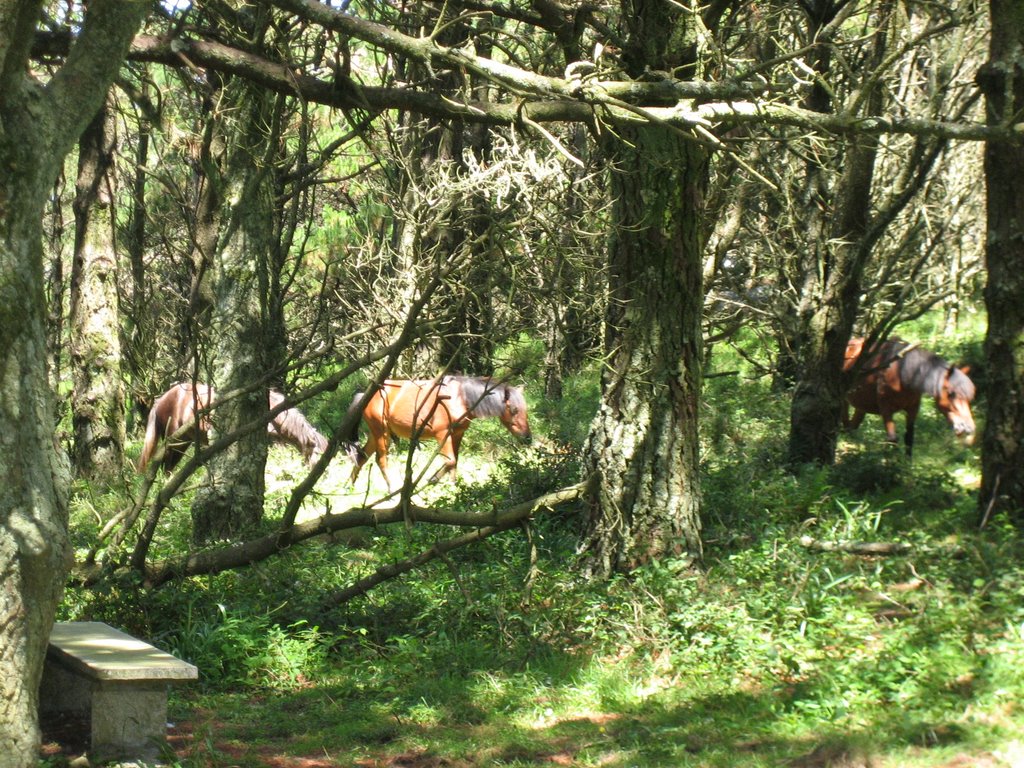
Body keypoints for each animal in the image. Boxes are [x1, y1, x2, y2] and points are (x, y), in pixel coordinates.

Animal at [137, 382, 327, 473]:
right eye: (317, 456)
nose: (324, 476)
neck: (272, 409)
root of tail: (162, 399)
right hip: (174, 440)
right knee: (166, 466)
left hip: (184, 442)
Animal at [346, 376, 532, 489]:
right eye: (514, 410)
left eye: (525, 409)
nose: (527, 438)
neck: (460, 399)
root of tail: (364, 395)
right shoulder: (443, 434)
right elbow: (450, 461)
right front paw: (433, 479)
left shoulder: (457, 434)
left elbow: (455, 462)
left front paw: (453, 489)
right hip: (381, 432)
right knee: (381, 460)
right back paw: (392, 490)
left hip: (376, 433)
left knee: (361, 458)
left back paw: (350, 487)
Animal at [843, 337, 978, 456]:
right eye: (951, 394)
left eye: (969, 398)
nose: (968, 428)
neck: (902, 373)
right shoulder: (886, 409)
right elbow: (892, 439)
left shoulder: (913, 409)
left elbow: (909, 438)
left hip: (861, 405)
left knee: (852, 426)